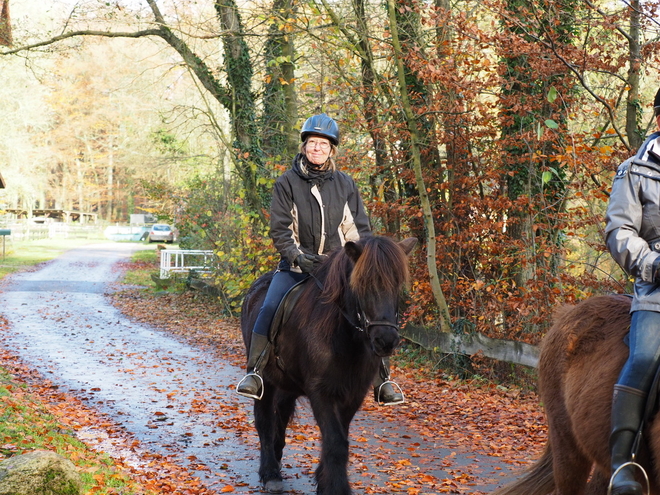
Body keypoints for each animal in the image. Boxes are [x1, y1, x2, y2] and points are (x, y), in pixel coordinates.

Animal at [242, 236, 416, 495]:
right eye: (362, 283)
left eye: (397, 284)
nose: (386, 341)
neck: (342, 336)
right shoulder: (321, 393)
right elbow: (335, 442)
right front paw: (336, 487)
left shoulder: (352, 394)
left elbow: (339, 438)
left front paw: (323, 481)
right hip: (267, 381)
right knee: (264, 421)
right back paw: (270, 473)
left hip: (287, 384)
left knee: (281, 414)